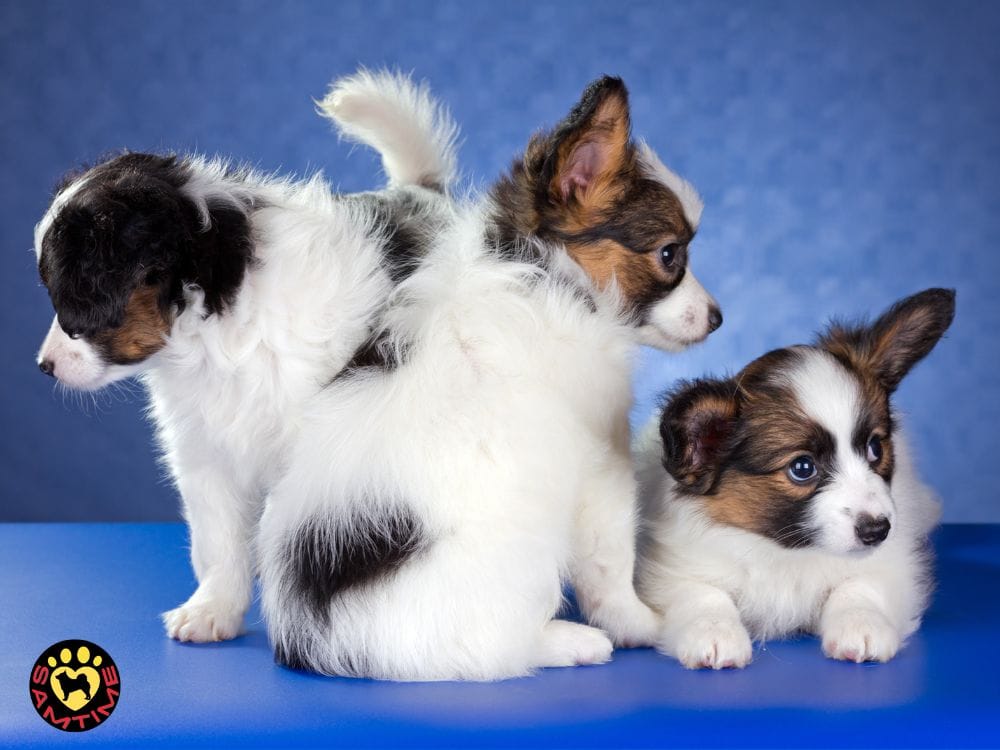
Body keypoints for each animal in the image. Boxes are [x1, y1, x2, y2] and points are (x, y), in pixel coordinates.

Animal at [33, 72, 458, 648]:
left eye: (70, 294)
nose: (44, 365)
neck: (217, 334)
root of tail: (423, 194)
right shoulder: (204, 453)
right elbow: (218, 541)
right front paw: (212, 609)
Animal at [262, 75, 724, 680]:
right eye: (670, 255)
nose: (717, 318)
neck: (547, 270)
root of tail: (325, 641)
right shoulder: (601, 468)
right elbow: (610, 565)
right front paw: (641, 624)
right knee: (498, 647)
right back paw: (571, 642)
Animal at [636, 288, 956, 668]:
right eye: (802, 468)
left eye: (875, 448)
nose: (877, 530)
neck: (786, 550)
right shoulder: (671, 572)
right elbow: (703, 594)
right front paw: (714, 632)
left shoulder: (893, 566)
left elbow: (859, 587)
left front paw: (862, 625)